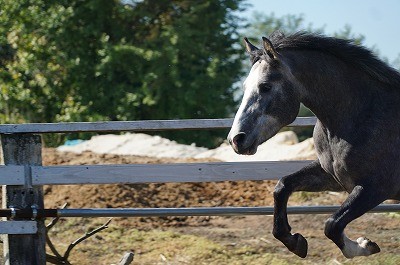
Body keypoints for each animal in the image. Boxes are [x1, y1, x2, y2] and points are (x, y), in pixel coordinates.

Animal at [228, 30, 400, 256]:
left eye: (265, 86)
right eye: (245, 86)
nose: (236, 139)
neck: (364, 114)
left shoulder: (377, 187)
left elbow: (332, 224)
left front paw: (364, 245)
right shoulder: (333, 177)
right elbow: (282, 186)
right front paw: (295, 241)